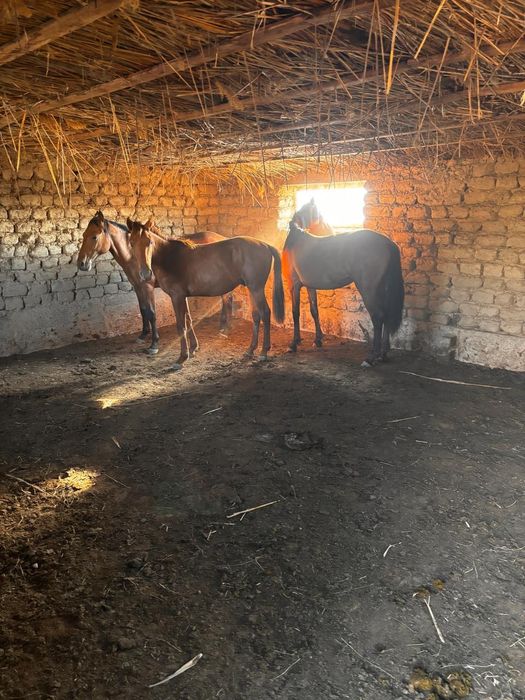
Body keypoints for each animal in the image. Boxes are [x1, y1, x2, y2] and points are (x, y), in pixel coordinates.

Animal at [76, 211, 233, 354]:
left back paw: (224, 328)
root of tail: (222, 237)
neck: (133, 257)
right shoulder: (137, 287)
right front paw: (143, 335)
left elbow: (152, 313)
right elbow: (143, 309)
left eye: (94, 236)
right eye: (83, 235)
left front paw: (154, 344)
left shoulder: (148, 287)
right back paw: (223, 326)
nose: (81, 264)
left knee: (226, 298)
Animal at [128, 219, 285, 370]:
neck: (170, 258)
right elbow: (188, 320)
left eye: (149, 241)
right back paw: (250, 350)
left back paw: (264, 352)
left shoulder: (176, 296)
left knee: (265, 313)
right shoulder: (183, 296)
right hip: (251, 289)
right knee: (256, 315)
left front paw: (182, 358)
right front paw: (193, 348)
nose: (145, 274)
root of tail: (265, 245)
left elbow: (181, 325)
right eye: (132, 243)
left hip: (256, 288)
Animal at [283, 199, 404, 366]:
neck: (296, 240)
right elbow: (314, 311)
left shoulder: (294, 285)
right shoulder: (309, 286)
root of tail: (388, 243)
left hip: (368, 289)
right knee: (385, 315)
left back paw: (371, 357)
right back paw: (383, 354)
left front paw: (293, 344)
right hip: (382, 289)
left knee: (378, 316)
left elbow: (295, 313)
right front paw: (317, 340)